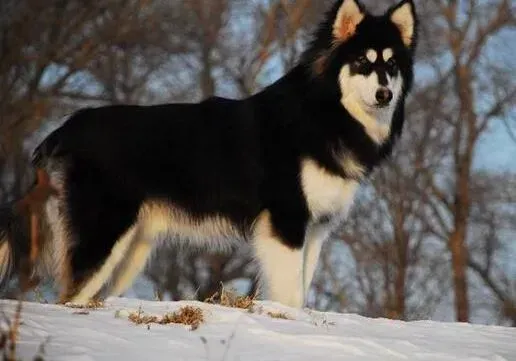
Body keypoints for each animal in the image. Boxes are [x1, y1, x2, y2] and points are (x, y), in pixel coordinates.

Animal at [0, 0, 418, 306]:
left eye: (392, 65)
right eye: (362, 62)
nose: (385, 95)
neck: (324, 113)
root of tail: (67, 127)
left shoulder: (314, 230)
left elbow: (301, 288)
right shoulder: (285, 223)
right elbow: (289, 293)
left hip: (130, 250)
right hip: (102, 236)